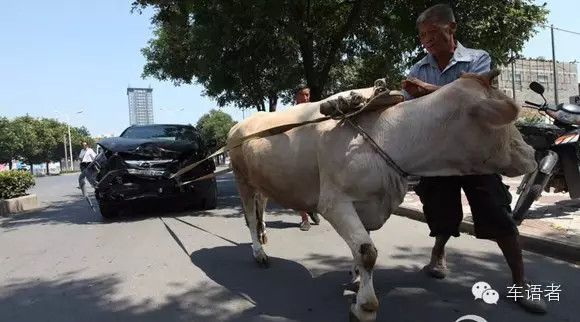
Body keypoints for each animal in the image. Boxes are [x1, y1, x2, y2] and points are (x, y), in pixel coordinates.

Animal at [224, 71, 536, 322]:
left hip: (262, 180)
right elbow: (367, 251)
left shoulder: (369, 204)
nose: (533, 153)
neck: (389, 136)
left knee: (261, 206)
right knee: (249, 216)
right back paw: (259, 252)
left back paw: (264, 235)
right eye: (506, 122)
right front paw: (365, 306)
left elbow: (360, 248)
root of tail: (238, 126)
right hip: (241, 178)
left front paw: (355, 278)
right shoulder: (334, 202)